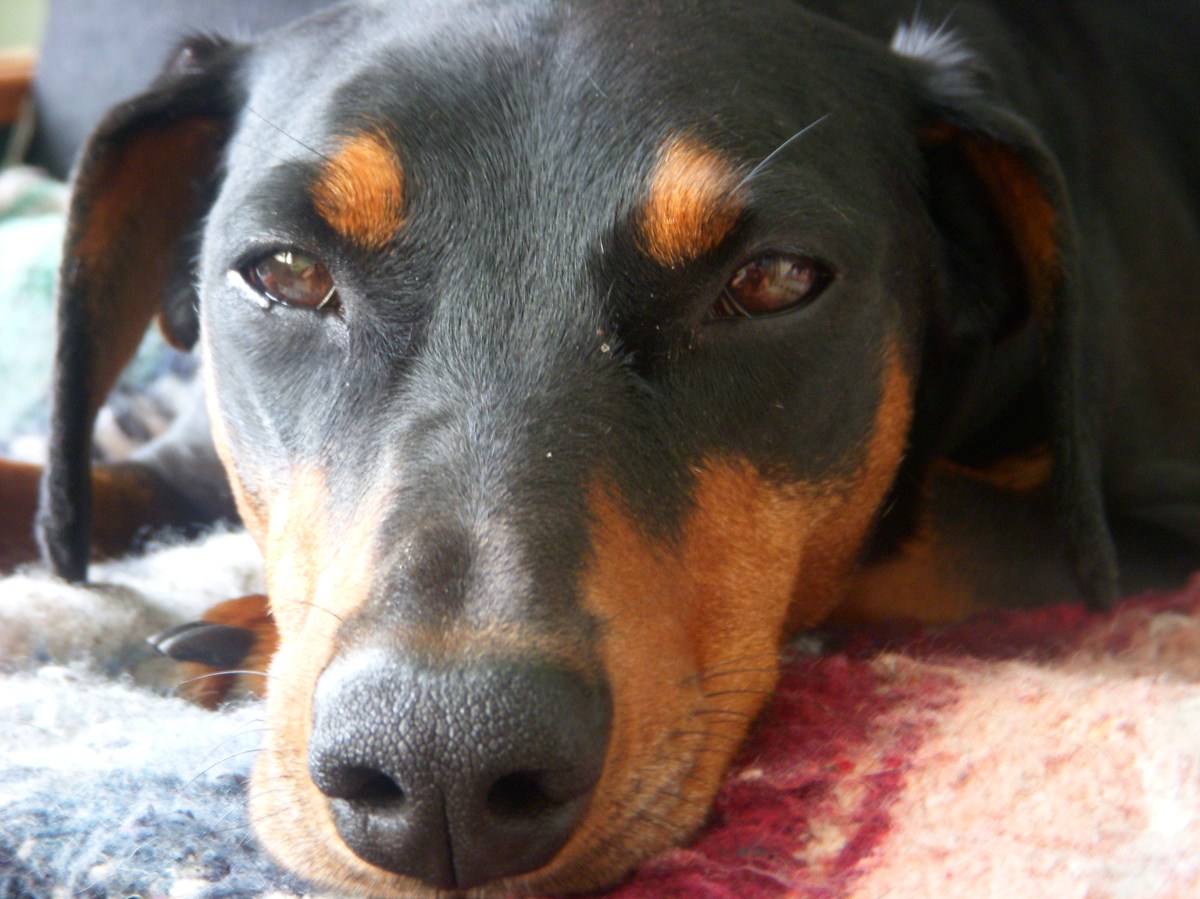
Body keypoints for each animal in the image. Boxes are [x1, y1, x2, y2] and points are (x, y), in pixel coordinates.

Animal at [1, 0, 1198, 894]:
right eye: (285, 271)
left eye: (775, 279)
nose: (444, 767)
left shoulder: (1137, 535)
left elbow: (896, 531)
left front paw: (246, 635)